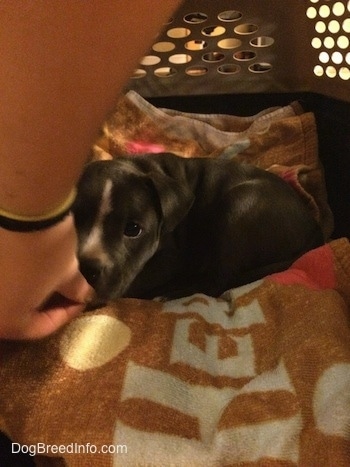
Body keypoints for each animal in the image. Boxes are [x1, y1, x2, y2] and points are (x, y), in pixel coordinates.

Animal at [72, 152, 324, 302]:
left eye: (132, 229)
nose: (84, 269)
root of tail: (313, 226)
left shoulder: (169, 260)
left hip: (240, 203)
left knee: (218, 281)